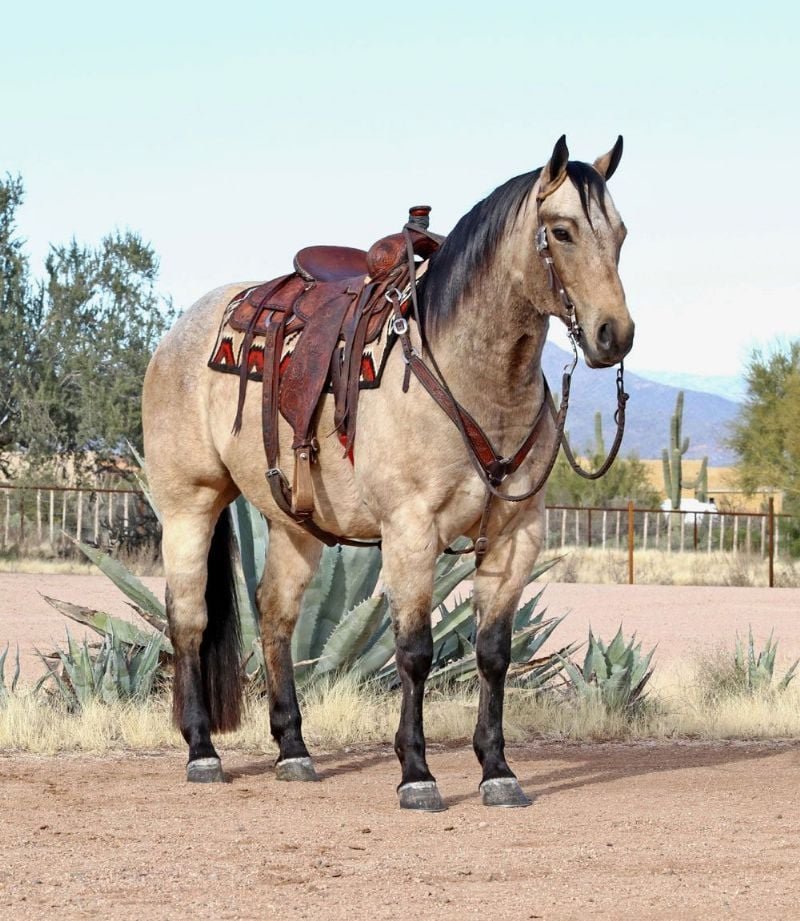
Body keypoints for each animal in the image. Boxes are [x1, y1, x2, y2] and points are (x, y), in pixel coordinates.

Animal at [142, 135, 635, 810]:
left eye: (622, 233)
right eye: (561, 231)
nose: (615, 334)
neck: (467, 375)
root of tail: (178, 331)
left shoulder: (516, 534)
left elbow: (493, 652)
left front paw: (497, 769)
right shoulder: (410, 531)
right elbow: (415, 652)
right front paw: (417, 773)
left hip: (292, 523)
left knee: (275, 616)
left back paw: (293, 751)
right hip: (189, 503)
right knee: (189, 617)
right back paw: (201, 751)